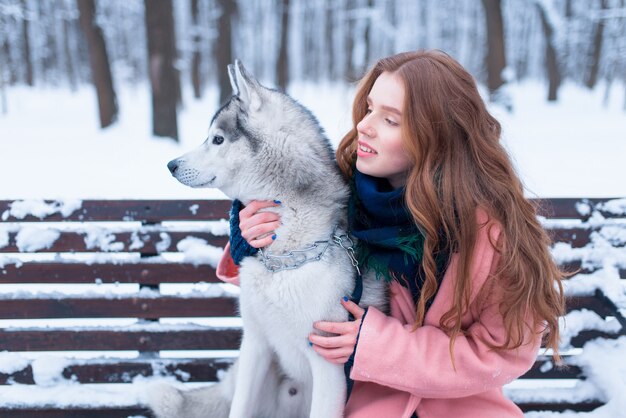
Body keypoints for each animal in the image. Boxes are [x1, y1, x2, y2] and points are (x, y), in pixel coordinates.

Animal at [152, 62, 386, 418]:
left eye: (217, 139)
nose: (170, 164)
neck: (285, 258)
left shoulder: (328, 365)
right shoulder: (255, 346)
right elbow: (238, 408)